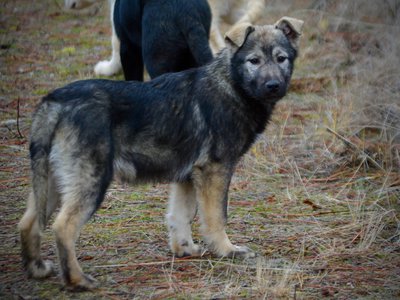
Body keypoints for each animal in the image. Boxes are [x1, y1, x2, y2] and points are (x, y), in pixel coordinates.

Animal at [18, 17, 304, 290]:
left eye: (281, 59)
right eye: (254, 61)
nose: (273, 85)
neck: (231, 84)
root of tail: (54, 102)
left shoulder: (187, 177)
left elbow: (180, 215)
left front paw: (184, 249)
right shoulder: (215, 171)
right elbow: (216, 217)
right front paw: (227, 250)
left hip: (53, 183)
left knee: (28, 222)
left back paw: (37, 269)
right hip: (90, 182)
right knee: (63, 227)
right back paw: (77, 281)